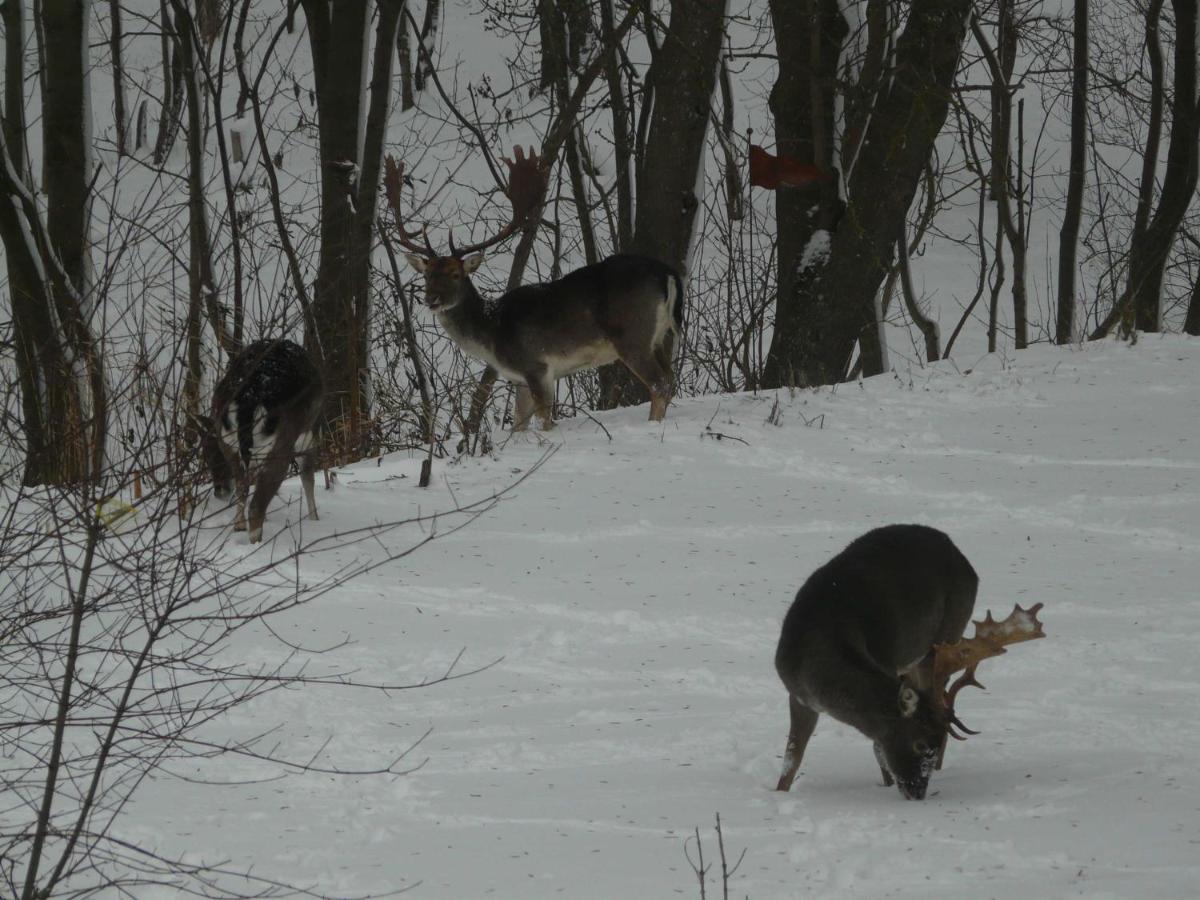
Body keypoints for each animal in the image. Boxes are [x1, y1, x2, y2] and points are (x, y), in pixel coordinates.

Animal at [200, 340, 324, 547]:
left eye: (209, 455)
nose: (220, 492)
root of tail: (248, 398)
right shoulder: (309, 435)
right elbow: (308, 478)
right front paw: (315, 519)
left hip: (232, 445)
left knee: (242, 486)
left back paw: (239, 526)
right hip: (281, 447)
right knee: (256, 505)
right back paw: (257, 543)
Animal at [384, 150, 686, 432]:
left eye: (456, 274)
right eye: (426, 275)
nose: (431, 299)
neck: (492, 332)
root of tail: (668, 274)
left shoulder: (536, 365)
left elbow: (544, 420)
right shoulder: (518, 377)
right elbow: (518, 424)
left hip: (632, 336)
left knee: (659, 384)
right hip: (658, 337)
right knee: (671, 379)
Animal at [772, 525, 1046, 801]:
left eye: (933, 742)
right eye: (920, 743)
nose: (918, 793)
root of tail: (956, 550)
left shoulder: (887, 662)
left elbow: (878, 750)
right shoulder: (797, 696)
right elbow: (791, 759)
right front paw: (779, 792)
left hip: (945, 634)